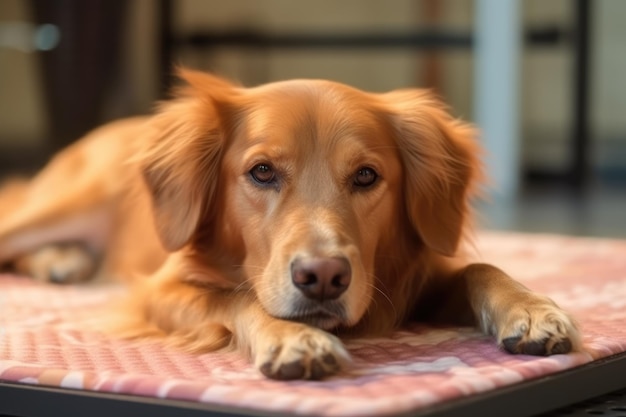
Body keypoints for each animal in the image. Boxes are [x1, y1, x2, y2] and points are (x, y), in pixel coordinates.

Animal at [0, 70, 580, 378]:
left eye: (366, 176)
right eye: (262, 172)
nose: (323, 277)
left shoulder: (410, 281)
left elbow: (480, 268)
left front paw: (532, 310)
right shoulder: (160, 290)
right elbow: (236, 298)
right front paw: (292, 337)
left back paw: (61, 260)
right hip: (72, 199)